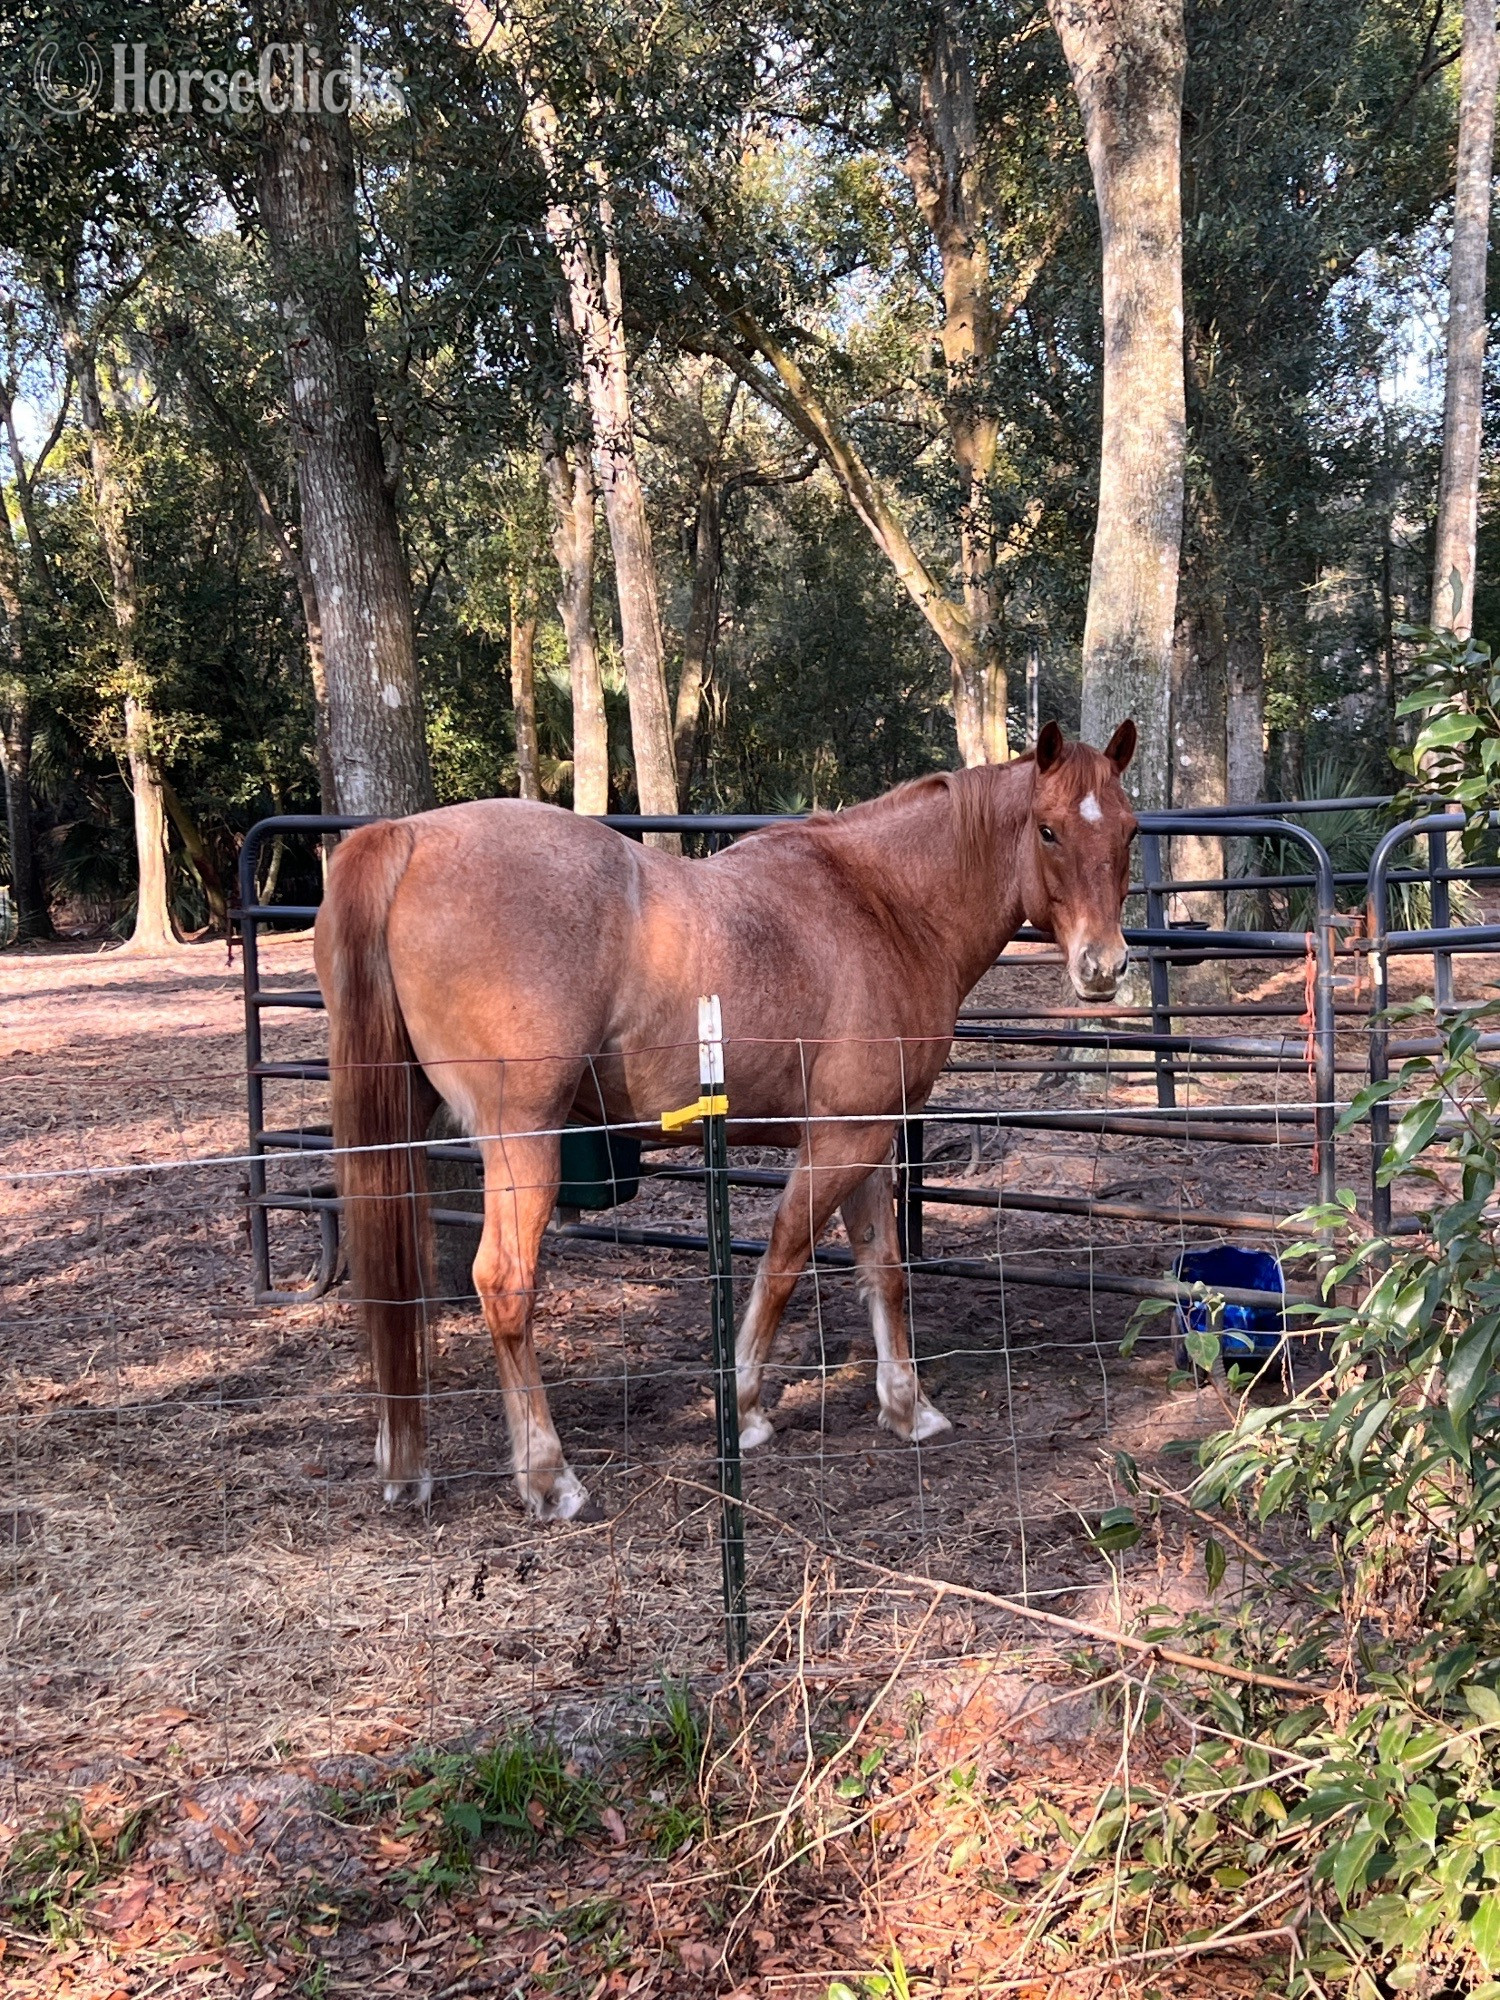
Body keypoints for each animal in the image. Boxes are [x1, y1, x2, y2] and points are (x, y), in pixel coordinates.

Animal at [314, 718, 1139, 1517]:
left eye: (1129, 830)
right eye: (1049, 830)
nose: (1103, 967)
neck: (883, 906)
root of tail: (408, 838)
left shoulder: (870, 1135)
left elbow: (884, 1269)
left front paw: (908, 1408)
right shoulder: (841, 1137)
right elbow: (783, 1262)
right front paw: (742, 1411)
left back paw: (406, 1466)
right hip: (525, 1143)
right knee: (505, 1285)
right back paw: (549, 1479)